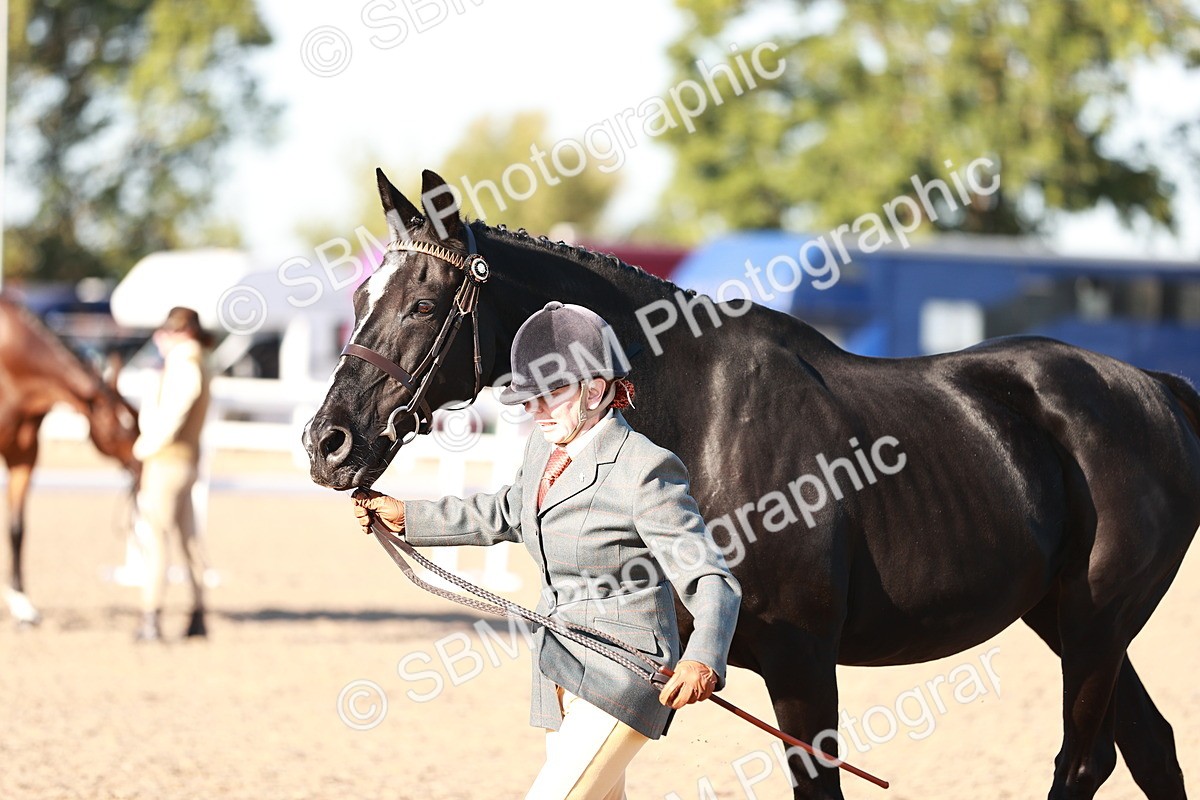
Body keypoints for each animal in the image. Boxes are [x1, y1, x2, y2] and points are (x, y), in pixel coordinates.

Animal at [0, 296, 141, 625]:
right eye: (117, 429)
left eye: (135, 421)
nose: (141, 467)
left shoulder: (24, 457)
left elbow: (17, 529)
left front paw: (22, 603)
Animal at [304, 170, 1200, 800]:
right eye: (362, 295)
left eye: (423, 305)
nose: (328, 442)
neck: (704, 419)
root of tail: (1160, 390)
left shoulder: (802, 663)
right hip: (1070, 620)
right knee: (1149, 751)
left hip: (1096, 626)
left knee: (1083, 763)